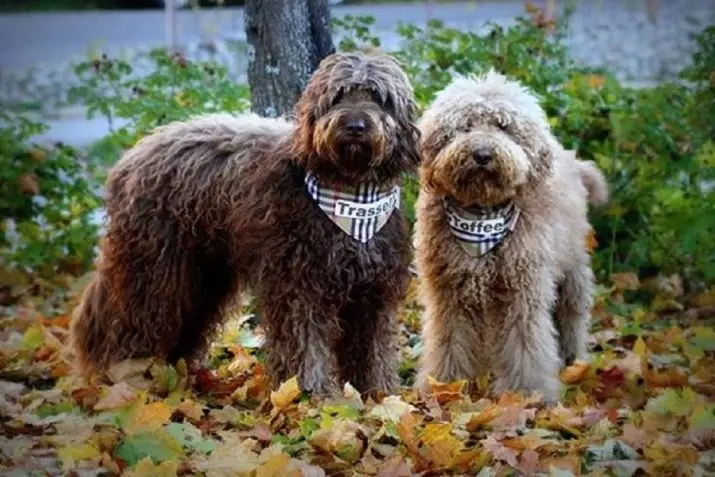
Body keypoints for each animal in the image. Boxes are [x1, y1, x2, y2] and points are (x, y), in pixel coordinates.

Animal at [70, 51, 422, 394]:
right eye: (338, 96)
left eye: (379, 98)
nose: (355, 126)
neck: (350, 194)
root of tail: (132, 157)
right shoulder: (298, 286)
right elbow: (305, 346)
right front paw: (313, 396)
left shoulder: (373, 289)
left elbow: (372, 348)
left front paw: (379, 395)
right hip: (153, 269)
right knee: (130, 319)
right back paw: (126, 375)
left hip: (203, 275)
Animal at [414, 69, 608, 400]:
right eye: (465, 127)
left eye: (503, 126)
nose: (482, 154)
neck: (482, 214)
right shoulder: (449, 293)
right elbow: (448, 340)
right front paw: (445, 386)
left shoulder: (523, 291)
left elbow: (525, 345)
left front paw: (527, 393)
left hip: (572, 273)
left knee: (571, 318)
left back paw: (573, 362)